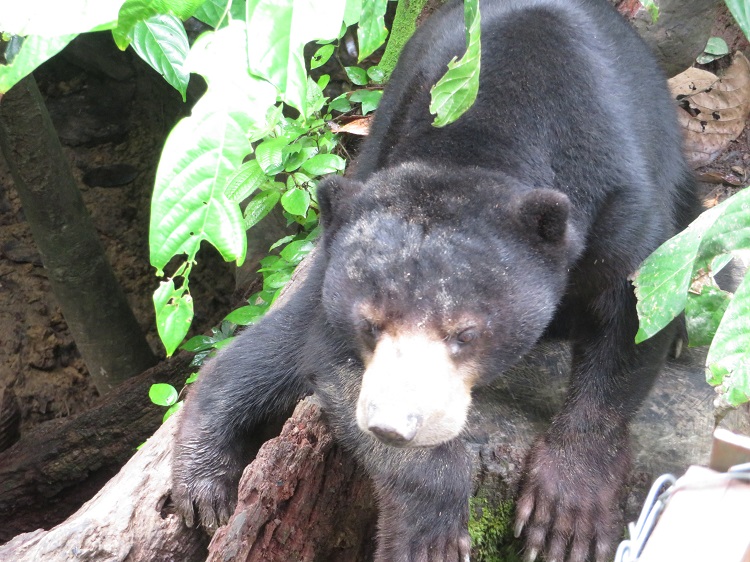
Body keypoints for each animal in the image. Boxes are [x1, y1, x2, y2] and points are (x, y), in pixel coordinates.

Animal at [171, 0, 700, 560]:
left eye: (465, 333)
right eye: (370, 326)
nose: (393, 426)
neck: (482, 140)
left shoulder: (617, 200)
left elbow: (633, 314)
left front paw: (566, 517)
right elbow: (328, 357)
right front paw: (428, 533)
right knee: (265, 351)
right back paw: (203, 481)